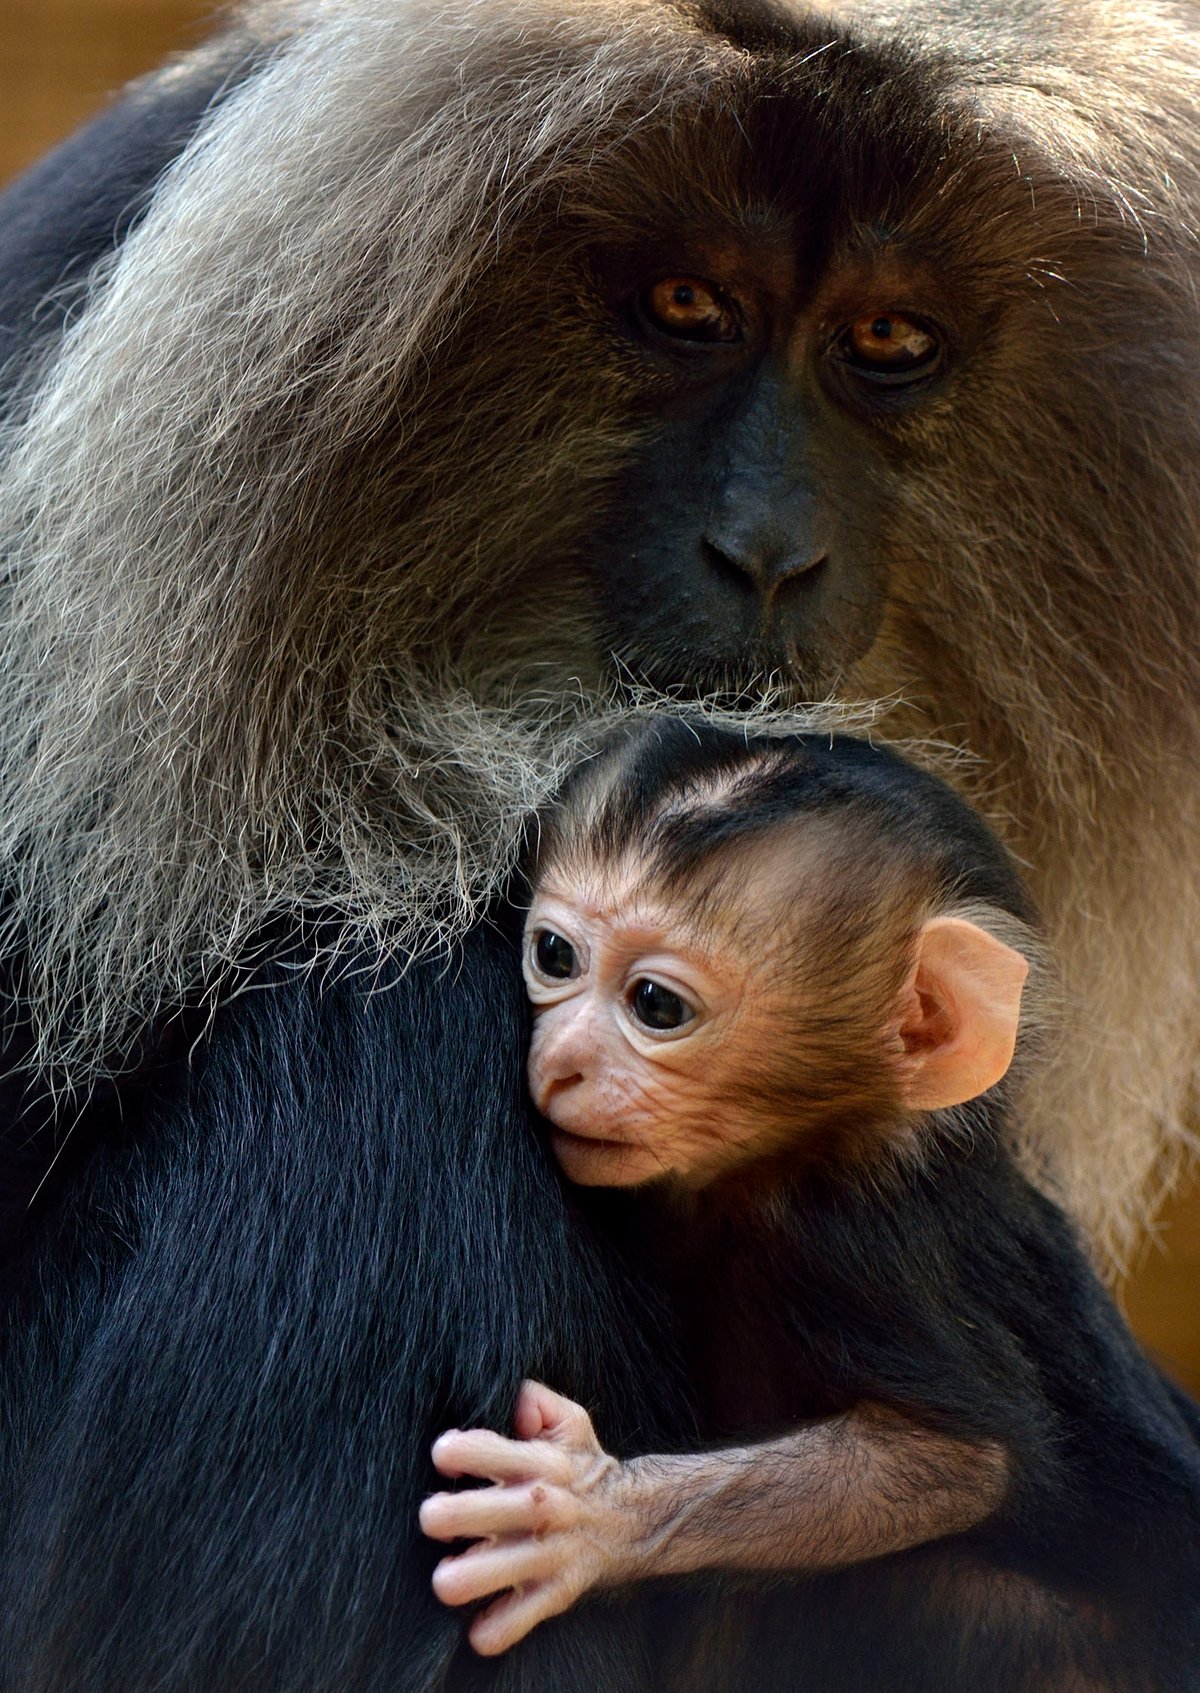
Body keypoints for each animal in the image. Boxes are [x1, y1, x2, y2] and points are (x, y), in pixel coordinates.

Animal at [419, 721, 1198, 1686]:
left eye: (655, 1004)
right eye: (554, 956)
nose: (559, 1063)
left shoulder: (852, 1243)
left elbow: (950, 1460)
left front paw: (593, 1519)